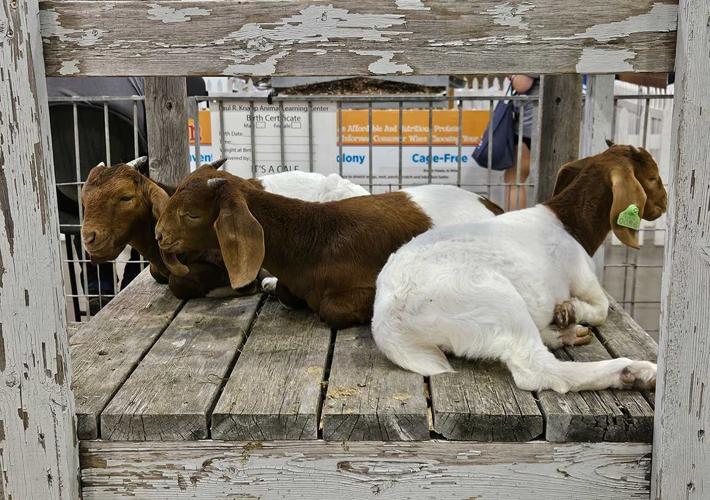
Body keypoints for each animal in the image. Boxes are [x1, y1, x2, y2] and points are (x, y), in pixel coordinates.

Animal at [155, 166, 503, 328]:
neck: (313, 238)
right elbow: (287, 294)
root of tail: (492, 205)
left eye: (192, 213)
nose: (159, 235)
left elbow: (331, 309)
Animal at [371, 144, 668, 393]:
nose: (664, 205)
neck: (568, 222)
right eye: (653, 177)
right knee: (537, 370)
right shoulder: (584, 279)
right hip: (497, 301)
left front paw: (564, 317)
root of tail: (387, 320)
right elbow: (601, 309)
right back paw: (634, 371)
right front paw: (572, 309)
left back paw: (564, 334)